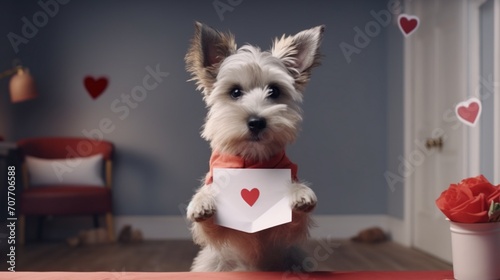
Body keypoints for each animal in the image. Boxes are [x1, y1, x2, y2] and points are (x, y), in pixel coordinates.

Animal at [186, 23, 322, 272]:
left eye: (274, 91)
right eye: (235, 92)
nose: (257, 122)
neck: (252, 161)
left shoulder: (281, 234)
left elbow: (290, 221)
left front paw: (298, 192)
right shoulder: (221, 229)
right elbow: (211, 221)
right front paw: (202, 200)